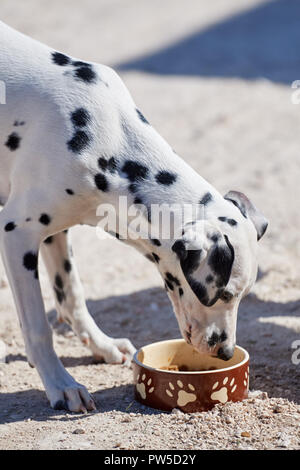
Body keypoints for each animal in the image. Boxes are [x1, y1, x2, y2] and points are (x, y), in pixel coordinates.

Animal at [0, 21, 268, 412]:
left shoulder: (54, 233)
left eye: (245, 295)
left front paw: (100, 344)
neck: (104, 141)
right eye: (224, 294)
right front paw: (60, 383)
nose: (225, 350)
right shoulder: (16, 232)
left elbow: (72, 294)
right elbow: (38, 327)